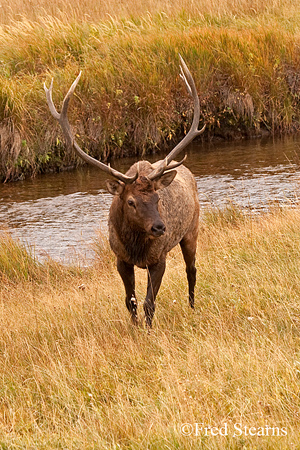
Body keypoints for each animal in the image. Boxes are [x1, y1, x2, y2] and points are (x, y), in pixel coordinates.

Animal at [44, 55, 205, 326]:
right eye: (130, 201)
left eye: (157, 198)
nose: (159, 227)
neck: (135, 247)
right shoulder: (120, 259)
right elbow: (131, 302)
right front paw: (134, 327)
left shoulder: (159, 258)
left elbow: (149, 303)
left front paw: (147, 330)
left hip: (191, 230)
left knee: (191, 270)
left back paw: (193, 308)